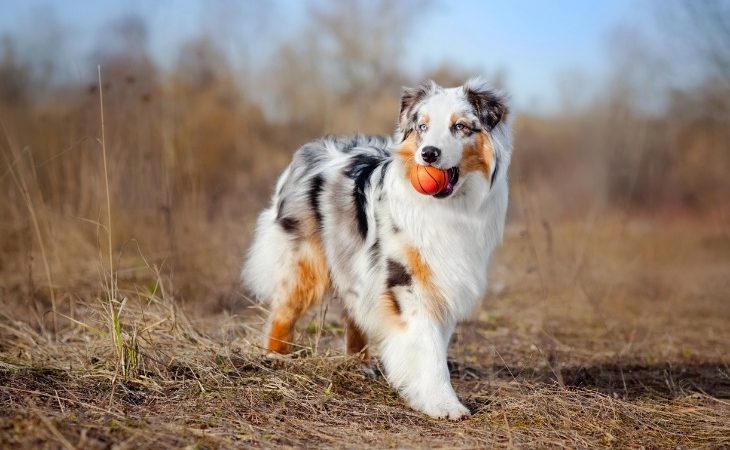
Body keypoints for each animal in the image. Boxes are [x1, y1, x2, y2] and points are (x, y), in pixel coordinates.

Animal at [242, 77, 510, 418]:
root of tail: (309, 150)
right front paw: (443, 403)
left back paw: (360, 364)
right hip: (307, 260)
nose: (428, 154)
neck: (449, 207)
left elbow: (435, 342)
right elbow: (428, 347)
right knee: (285, 309)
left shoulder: (443, 280)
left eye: (460, 126)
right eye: (422, 127)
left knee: (353, 311)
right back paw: (275, 356)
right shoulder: (405, 280)